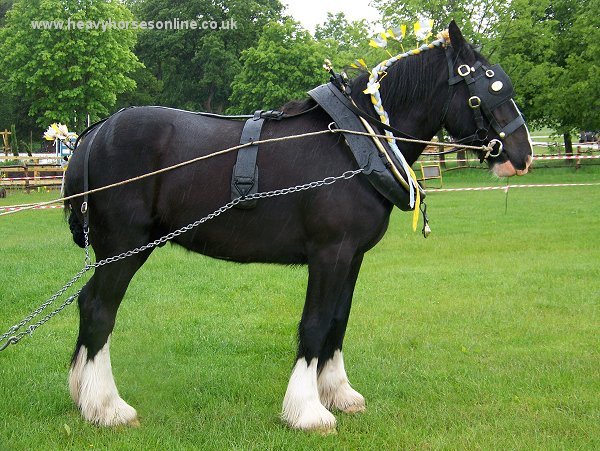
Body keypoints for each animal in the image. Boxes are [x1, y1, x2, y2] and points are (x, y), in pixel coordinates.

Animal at [64, 23, 528, 432]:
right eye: (484, 91)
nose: (521, 156)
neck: (357, 142)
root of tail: (96, 132)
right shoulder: (330, 254)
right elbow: (316, 324)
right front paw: (308, 410)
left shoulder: (351, 257)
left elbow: (339, 320)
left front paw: (338, 393)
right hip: (124, 248)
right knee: (99, 309)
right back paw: (106, 406)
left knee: (89, 305)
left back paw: (84, 396)